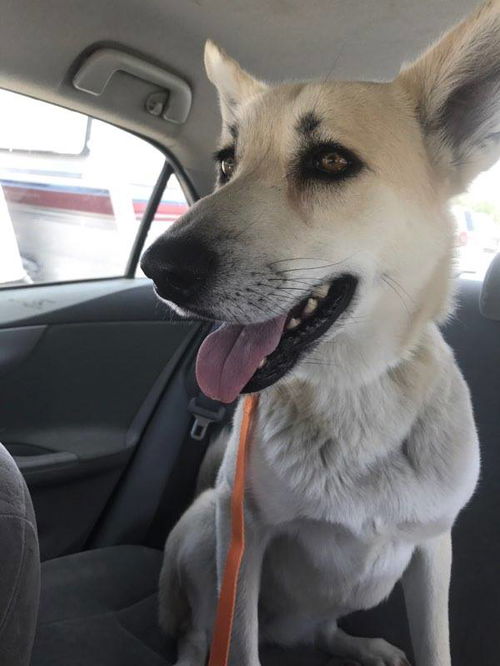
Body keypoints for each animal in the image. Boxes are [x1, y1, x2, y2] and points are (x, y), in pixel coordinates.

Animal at [141, 2, 500, 660]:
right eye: (227, 163)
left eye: (331, 161)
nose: (160, 268)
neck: (352, 392)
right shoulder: (243, 536)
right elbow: (238, 645)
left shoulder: (434, 551)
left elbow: (436, 644)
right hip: (204, 527)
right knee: (199, 634)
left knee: (326, 629)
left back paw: (362, 646)